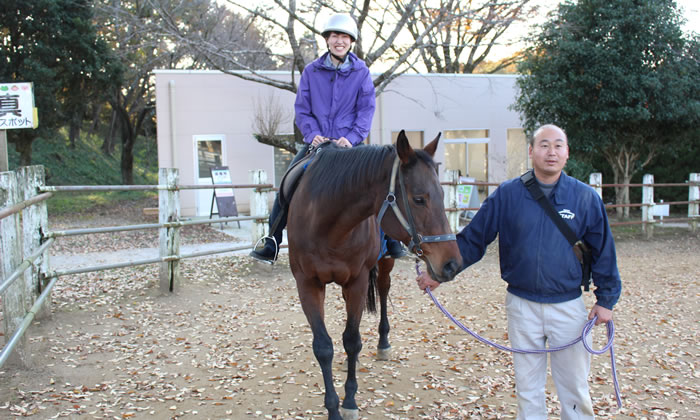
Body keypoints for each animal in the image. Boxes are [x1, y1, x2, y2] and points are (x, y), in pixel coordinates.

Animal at [288, 130, 462, 418]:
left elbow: (352, 340)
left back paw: (383, 343)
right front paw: (333, 407)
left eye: (441, 193)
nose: (452, 264)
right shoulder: (307, 284)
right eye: (419, 199)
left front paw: (349, 401)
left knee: (383, 290)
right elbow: (323, 347)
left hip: (383, 266)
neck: (329, 227)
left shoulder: (357, 282)